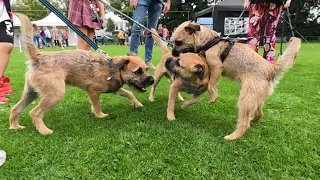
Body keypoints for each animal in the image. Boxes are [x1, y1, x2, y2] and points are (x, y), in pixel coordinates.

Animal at [9, 13, 154, 135]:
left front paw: (136, 103)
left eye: (146, 69)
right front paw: (100, 115)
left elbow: (129, 93)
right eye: (138, 71)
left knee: (15, 109)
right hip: (55, 94)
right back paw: (44, 130)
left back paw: (15, 126)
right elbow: (97, 105)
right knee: (35, 112)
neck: (112, 68)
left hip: (31, 93)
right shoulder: (93, 91)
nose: (152, 80)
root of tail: (39, 57)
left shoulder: (115, 88)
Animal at [171, 21, 302, 141]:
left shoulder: (216, 67)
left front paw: (213, 97)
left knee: (244, 123)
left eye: (178, 42)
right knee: (259, 113)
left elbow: (211, 85)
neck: (208, 41)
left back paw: (233, 136)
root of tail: (271, 68)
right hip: (255, 98)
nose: (172, 53)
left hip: (246, 98)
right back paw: (252, 119)